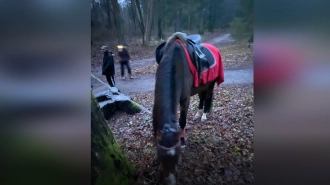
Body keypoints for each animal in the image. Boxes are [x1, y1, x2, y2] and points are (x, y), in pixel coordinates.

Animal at [152, 32, 224, 184]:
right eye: (161, 158)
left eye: (177, 158)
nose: (171, 181)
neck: (175, 63)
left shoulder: (185, 99)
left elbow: (182, 121)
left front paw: (183, 141)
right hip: (202, 85)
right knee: (202, 97)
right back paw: (198, 113)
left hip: (210, 84)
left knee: (207, 97)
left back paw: (204, 115)